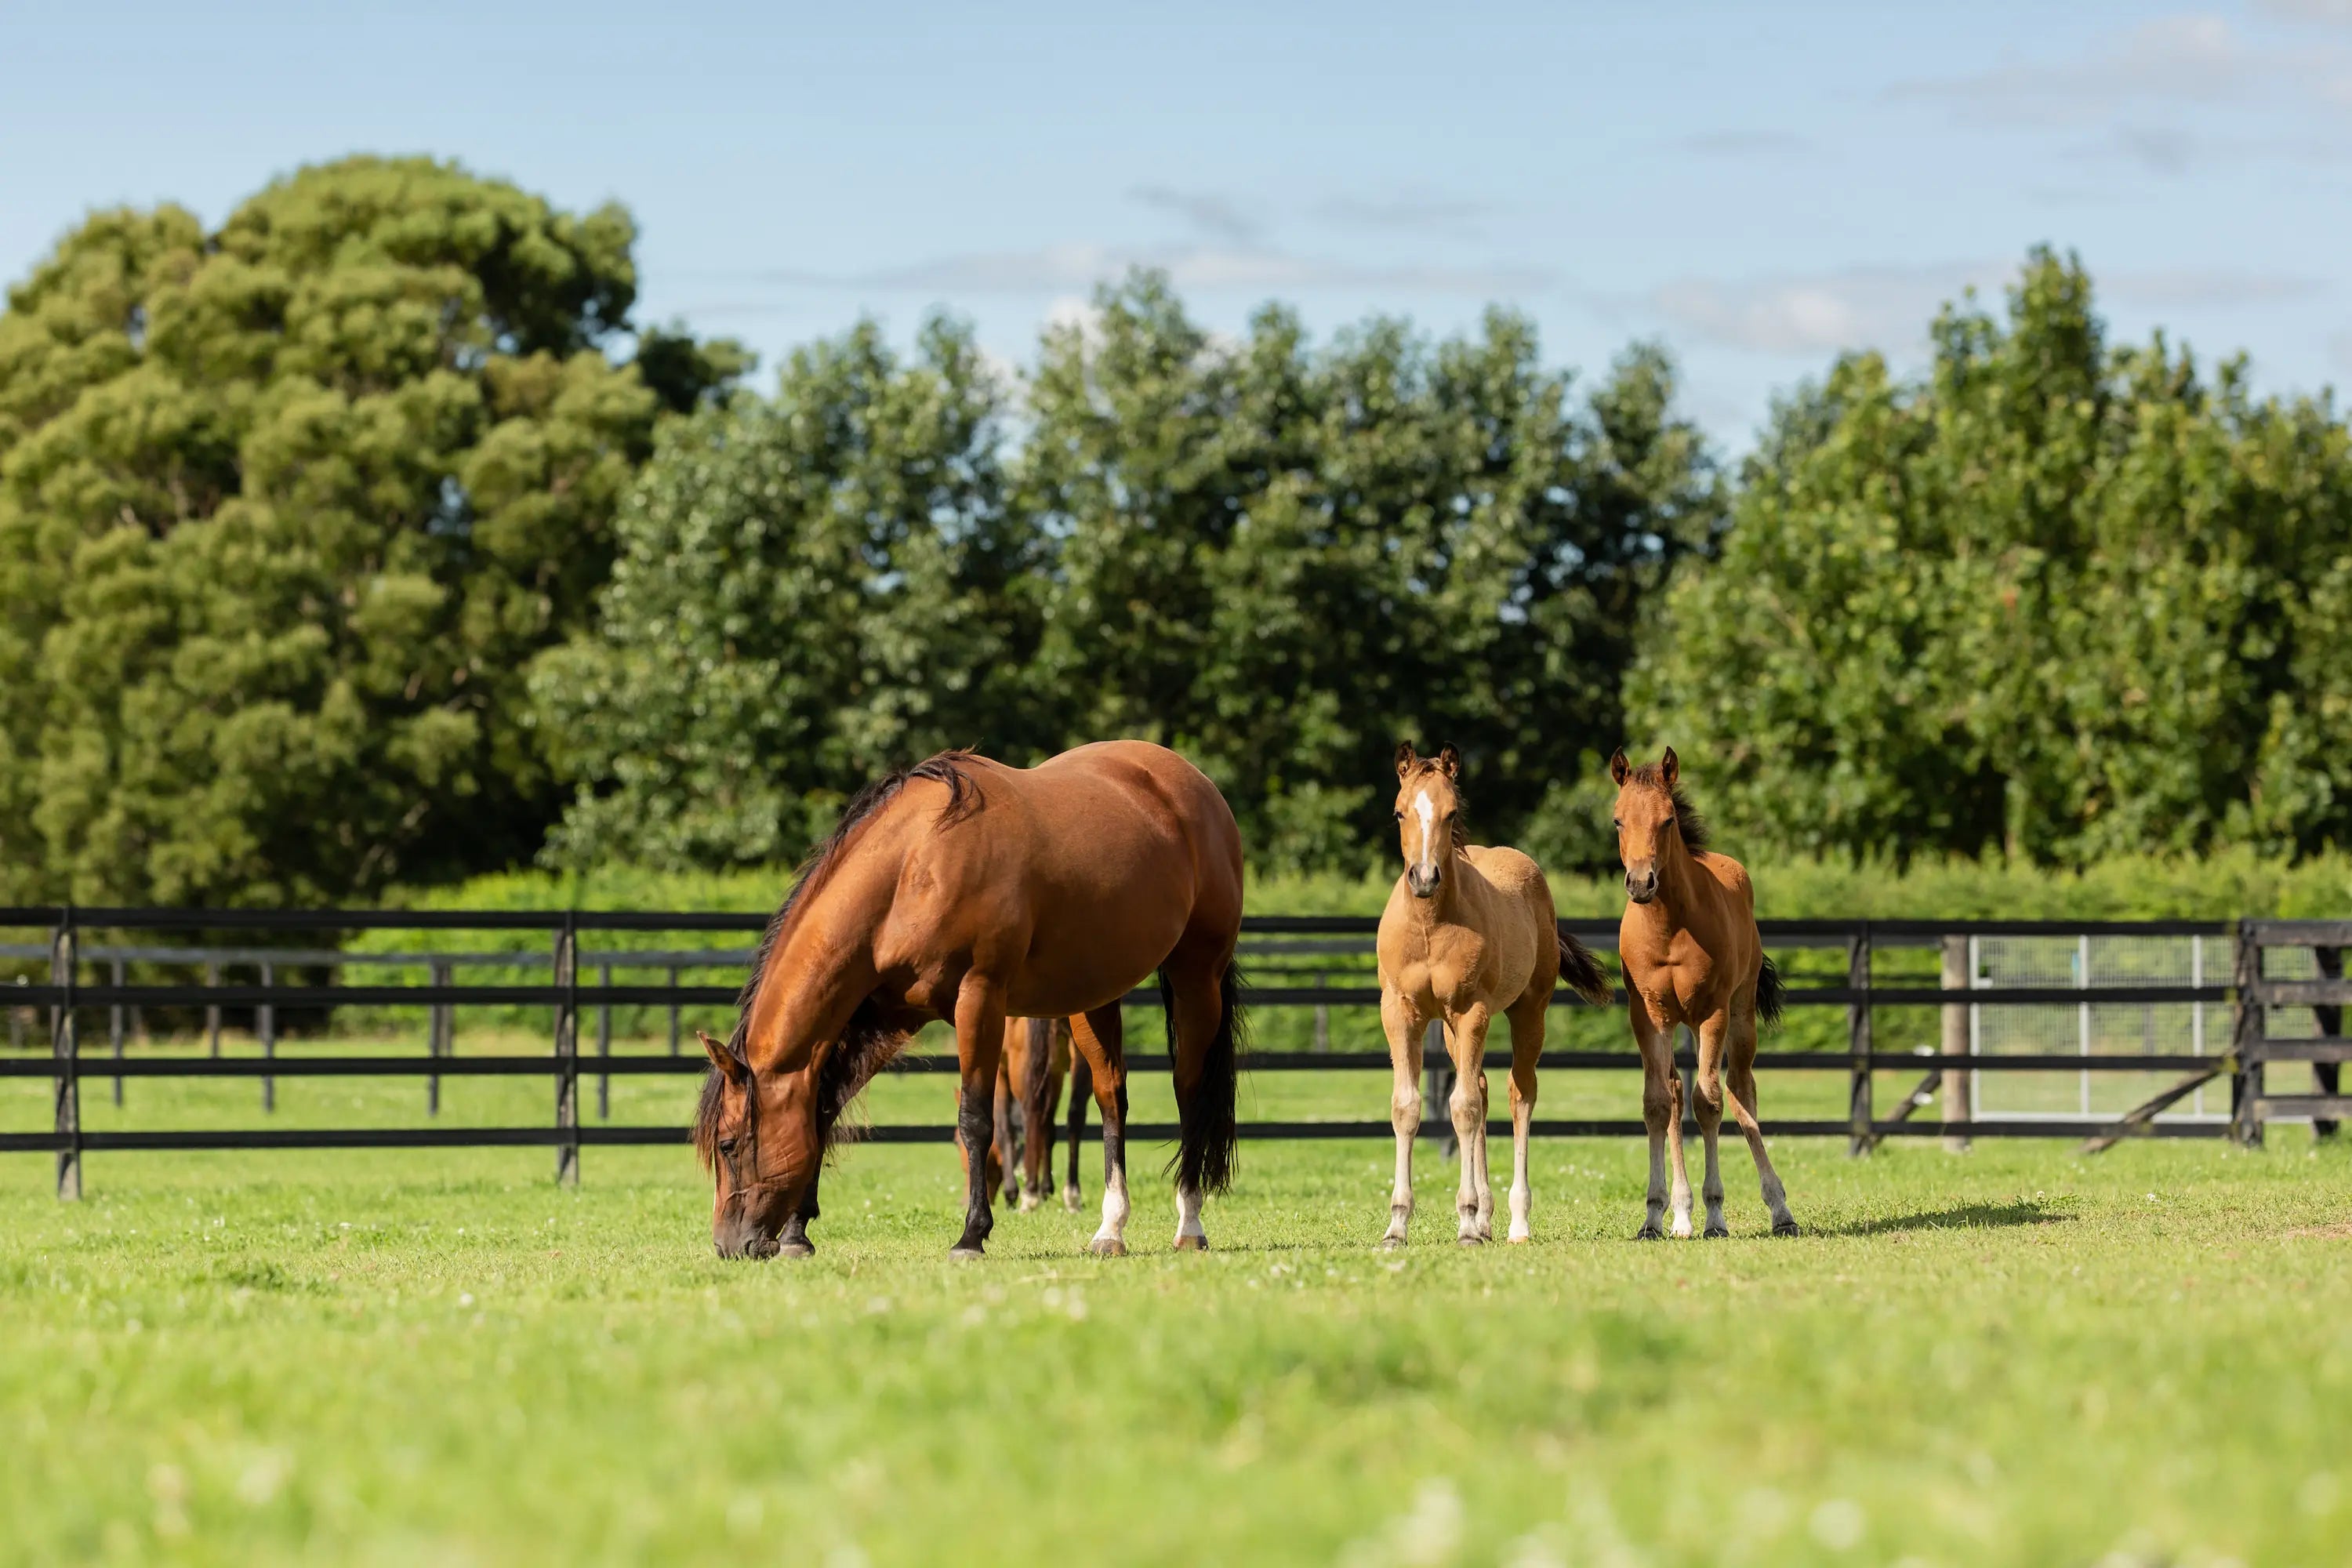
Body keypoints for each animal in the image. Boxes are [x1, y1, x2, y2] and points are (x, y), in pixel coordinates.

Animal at [693, 740, 1245, 1260]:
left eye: (728, 1143)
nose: (728, 1245)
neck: (913, 864)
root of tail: (1194, 785)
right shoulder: (889, 1011)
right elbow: (823, 1108)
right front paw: (797, 1235)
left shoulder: (979, 998)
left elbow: (977, 1120)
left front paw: (971, 1236)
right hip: (1094, 998)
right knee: (1111, 1099)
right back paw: (1110, 1230)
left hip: (1197, 979)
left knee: (1189, 1091)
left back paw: (1190, 1224)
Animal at [1376, 742, 1613, 1246]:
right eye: (1400, 811)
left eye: (1450, 813)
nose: (1424, 878)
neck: (1430, 926)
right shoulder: (1401, 1012)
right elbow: (1408, 1107)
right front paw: (1397, 1226)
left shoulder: (1472, 1012)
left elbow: (1462, 1108)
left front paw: (1465, 1222)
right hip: (1449, 1028)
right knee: (1482, 1089)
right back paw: (1486, 1218)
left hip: (1528, 1012)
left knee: (1518, 1094)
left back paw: (1514, 1221)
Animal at [1608, 747, 1798, 1239]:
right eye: (1618, 820)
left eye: (1668, 819)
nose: (1641, 883)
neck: (1671, 929)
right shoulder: (1648, 1015)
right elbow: (1658, 1104)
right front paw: (1655, 1215)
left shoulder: (1712, 1012)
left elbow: (1709, 1103)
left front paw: (1715, 1215)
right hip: (1682, 1023)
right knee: (1677, 1091)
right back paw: (1679, 1214)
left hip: (1739, 1017)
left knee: (1739, 1091)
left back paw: (1780, 1210)